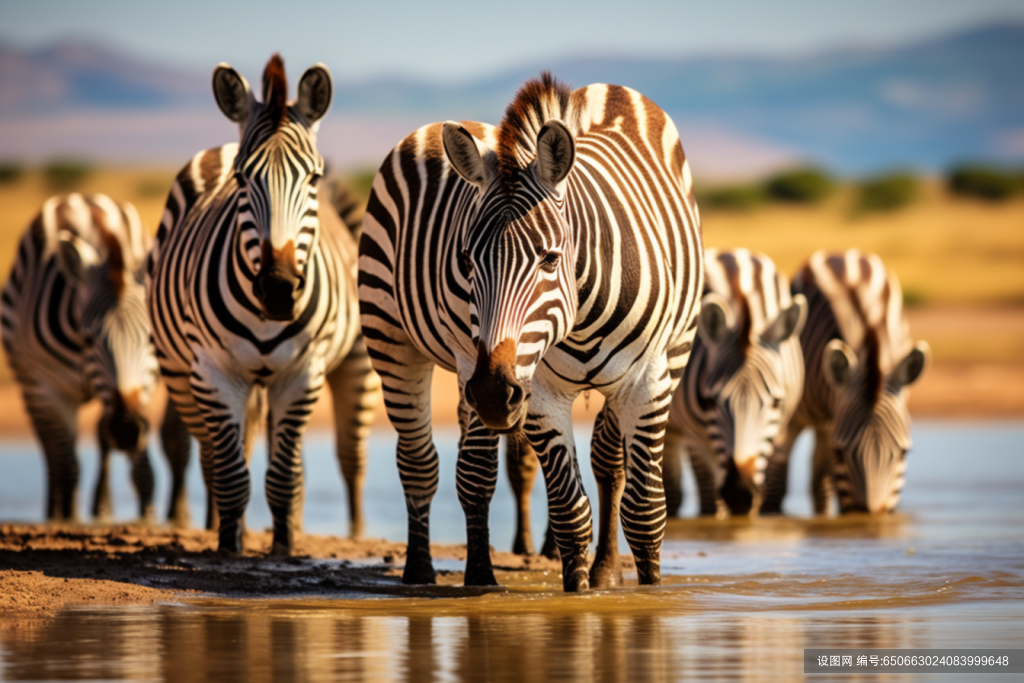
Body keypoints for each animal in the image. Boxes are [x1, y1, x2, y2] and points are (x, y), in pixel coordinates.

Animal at [0, 192, 163, 524]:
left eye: (151, 340)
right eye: (89, 338)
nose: (126, 428)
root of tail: (77, 196)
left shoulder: (141, 391)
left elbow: (143, 471)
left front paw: (148, 518)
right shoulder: (48, 390)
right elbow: (67, 466)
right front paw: (68, 516)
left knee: (99, 436)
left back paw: (102, 507)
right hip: (31, 387)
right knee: (52, 451)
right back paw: (54, 513)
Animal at [148, 54, 380, 557]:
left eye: (312, 177)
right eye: (240, 177)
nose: (277, 289)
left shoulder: (303, 374)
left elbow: (285, 475)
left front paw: (284, 545)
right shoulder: (214, 374)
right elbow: (232, 473)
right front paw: (229, 545)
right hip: (182, 373)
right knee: (211, 455)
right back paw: (216, 523)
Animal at [360, 72, 704, 589]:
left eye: (550, 259)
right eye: (466, 261)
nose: (492, 392)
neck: (581, 323)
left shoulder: (646, 383)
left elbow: (644, 512)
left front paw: (643, 594)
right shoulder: (537, 391)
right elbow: (569, 511)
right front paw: (576, 593)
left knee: (605, 461)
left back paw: (603, 569)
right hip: (395, 342)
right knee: (425, 462)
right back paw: (431, 571)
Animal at [663, 249, 806, 518]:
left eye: (776, 402)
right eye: (710, 401)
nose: (739, 494)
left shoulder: (776, 434)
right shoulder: (696, 438)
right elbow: (710, 502)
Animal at [761, 249, 937, 511]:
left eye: (904, 453)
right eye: (841, 453)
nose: (869, 514)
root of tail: (838, 254)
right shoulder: (792, 417)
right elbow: (775, 483)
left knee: (819, 481)